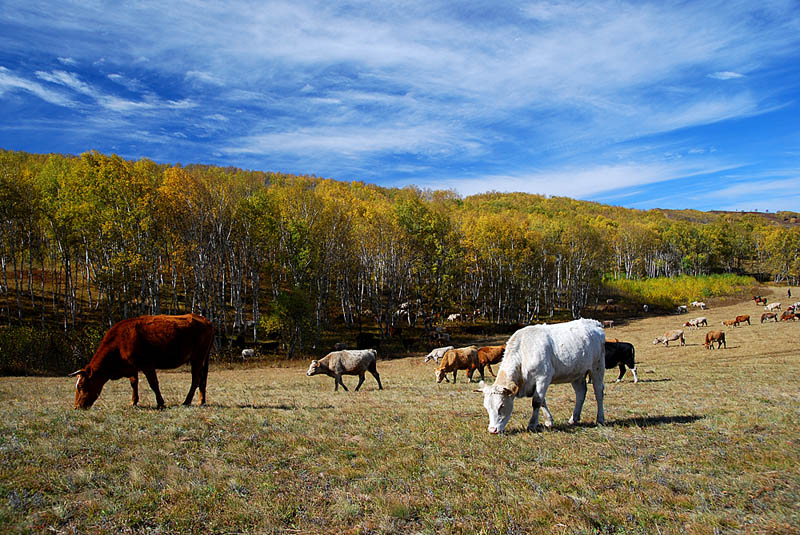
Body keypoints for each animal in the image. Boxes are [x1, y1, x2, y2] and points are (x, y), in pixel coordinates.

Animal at [69, 314, 214, 410]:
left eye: (81, 386)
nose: (76, 407)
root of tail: (204, 319)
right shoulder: (132, 367)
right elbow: (134, 383)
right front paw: (133, 402)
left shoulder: (147, 365)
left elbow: (153, 384)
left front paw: (160, 403)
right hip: (202, 358)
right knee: (202, 379)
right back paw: (201, 401)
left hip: (197, 357)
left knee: (196, 379)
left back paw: (187, 401)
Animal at [476, 318, 608, 436]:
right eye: (486, 407)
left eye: (501, 406)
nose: (492, 430)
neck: (523, 353)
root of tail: (594, 322)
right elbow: (542, 401)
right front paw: (548, 421)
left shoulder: (543, 378)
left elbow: (536, 401)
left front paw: (532, 425)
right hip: (577, 373)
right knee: (581, 393)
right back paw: (573, 419)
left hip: (598, 367)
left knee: (598, 392)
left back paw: (600, 419)